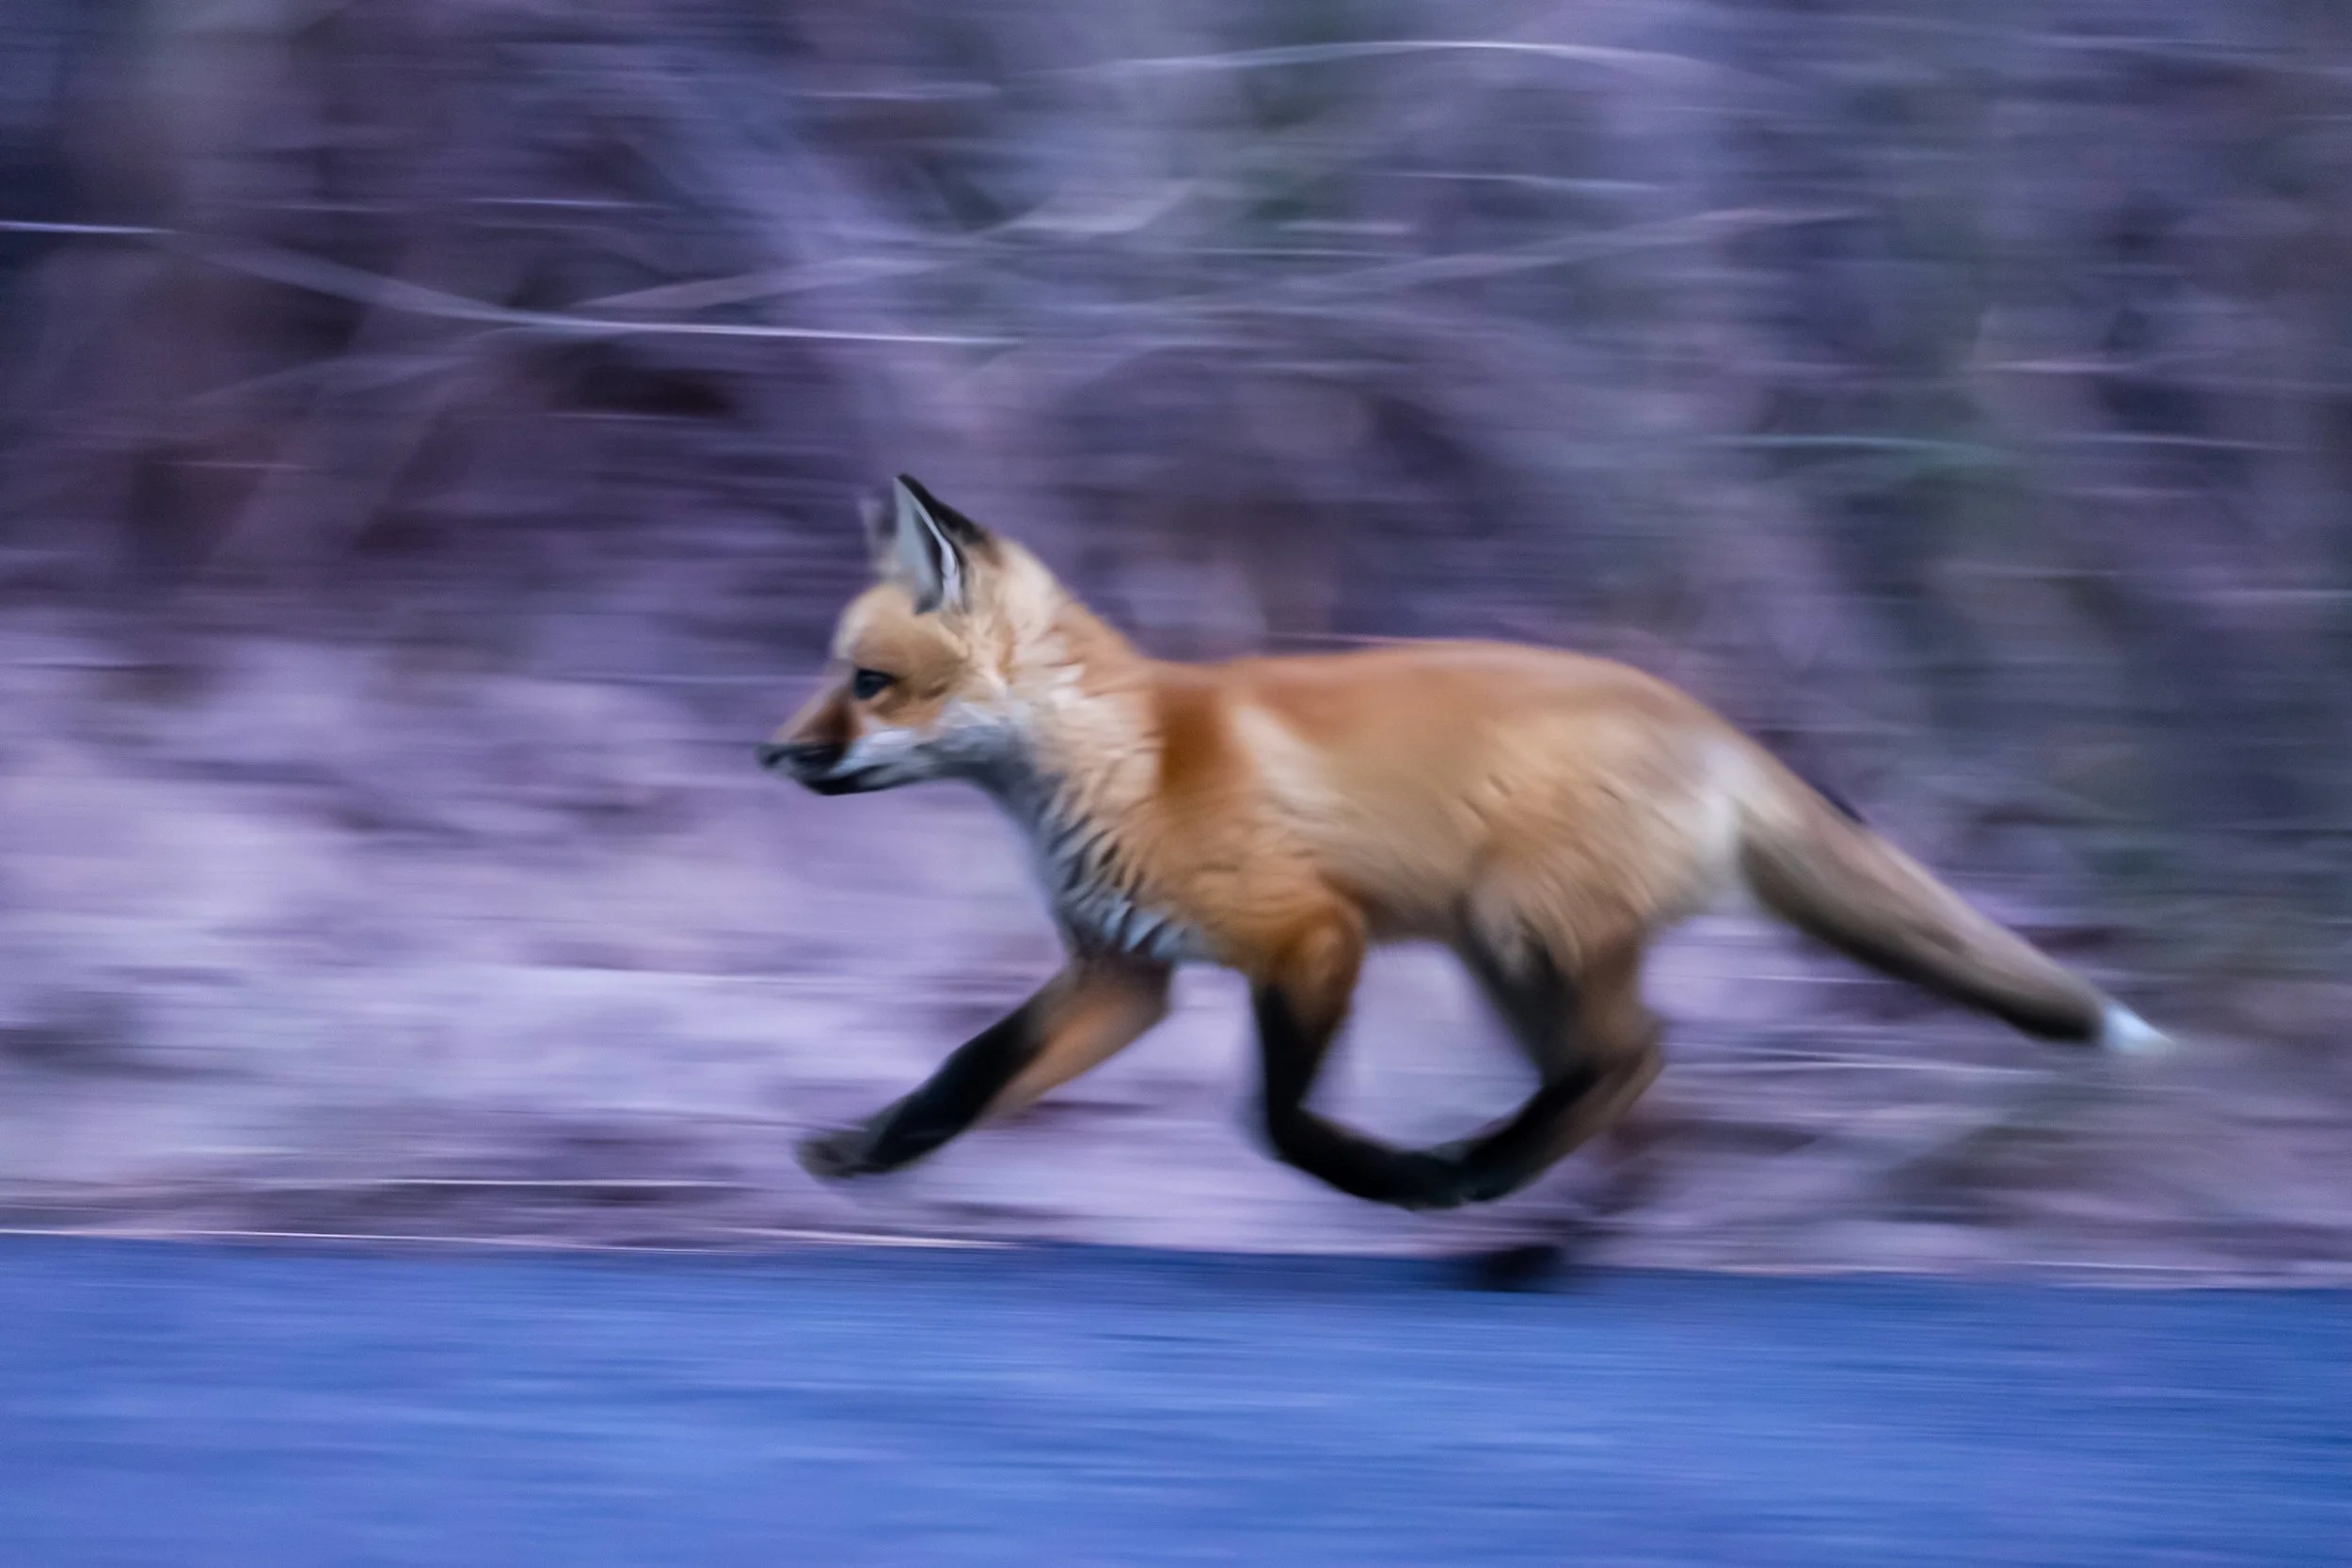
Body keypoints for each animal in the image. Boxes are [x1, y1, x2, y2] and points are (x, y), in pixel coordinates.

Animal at [760, 475, 2170, 1212]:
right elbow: (964, 1074)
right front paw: (866, 1153)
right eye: (834, 674)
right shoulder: (1123, 974)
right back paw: (1543, 1221)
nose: (771, 756)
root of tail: (1710, 719)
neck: (1128, 762)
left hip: (1517, 931)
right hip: (1511, 958)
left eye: (868, 683)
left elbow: (1279, 1120)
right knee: (1632, 1076)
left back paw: (1483, 1183)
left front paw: (1380, 1174)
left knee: (1631, 1056)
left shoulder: (1307, 938)